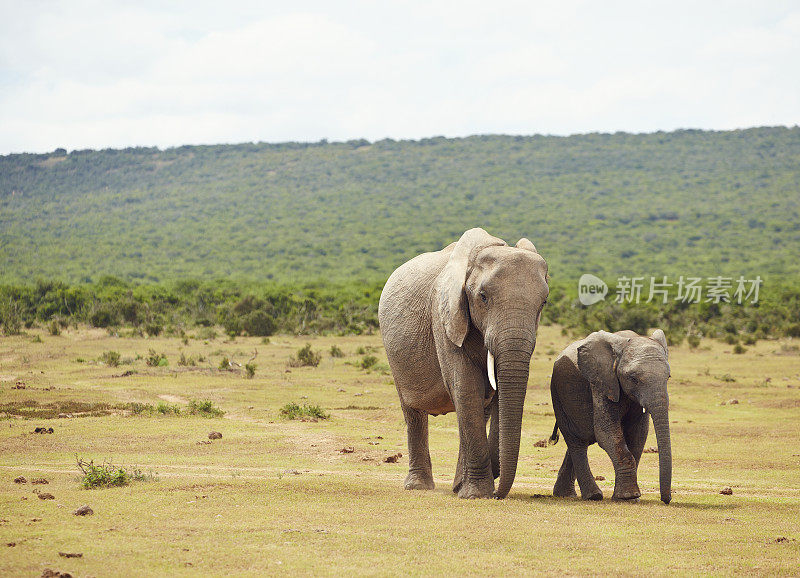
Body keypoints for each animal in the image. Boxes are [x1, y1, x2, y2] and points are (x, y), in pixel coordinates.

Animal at [378, 227, 548, 498]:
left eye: (543, 303)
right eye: (483, 297)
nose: (498, 494)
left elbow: (490, 397)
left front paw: (470, 489)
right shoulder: (443, 315)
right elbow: (467, 388)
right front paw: (476, 494)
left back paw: (457, 485)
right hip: (394, 354)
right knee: (413, 412)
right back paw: (419, 486)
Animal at [548, 330, 672, 502]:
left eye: (668, 377)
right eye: (633, 378)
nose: (666, 499)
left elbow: (638, 434)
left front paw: (630, 498)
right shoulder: (602, 382)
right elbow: (606, 432)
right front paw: (628, 496)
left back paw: (565, 494)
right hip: (560, 394)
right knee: (577, 441)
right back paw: (593, 496)